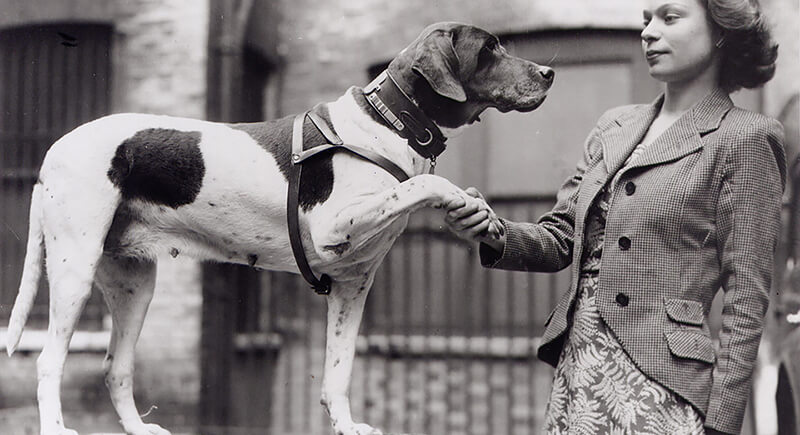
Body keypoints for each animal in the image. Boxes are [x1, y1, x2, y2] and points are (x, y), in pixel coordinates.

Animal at [5, 22, 553, 435]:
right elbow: (423, 184)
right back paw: (56, 428)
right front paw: (460, 196)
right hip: (74, 269)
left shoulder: (353, 286)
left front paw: (346, 426)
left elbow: (338, 372)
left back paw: (139, 429)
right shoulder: (335, 225)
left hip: (134, 284)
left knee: (114, 367)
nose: (549, 72)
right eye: (489, 49)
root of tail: (52, 153)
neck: (387, 123)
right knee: (48, 361)